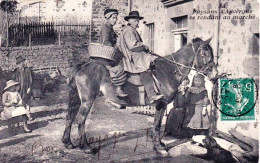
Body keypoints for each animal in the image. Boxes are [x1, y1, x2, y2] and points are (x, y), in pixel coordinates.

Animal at [62, 37, 216, 155]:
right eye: (204, 54)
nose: (215, 74)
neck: (169, 70)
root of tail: (83, 65)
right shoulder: (161, 104)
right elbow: (157, 125)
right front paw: (159, 148)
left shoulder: (162, 106)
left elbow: (157, 124)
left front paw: (160, 144)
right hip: (87, 100)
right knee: (80, 119)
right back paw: (85, 147)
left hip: (79, 99)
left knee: (70, 117)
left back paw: (68, 143)